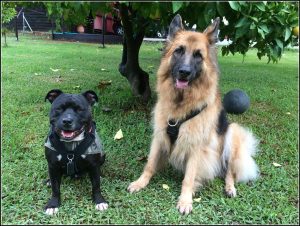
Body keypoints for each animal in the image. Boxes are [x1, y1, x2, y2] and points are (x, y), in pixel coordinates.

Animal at [127, 15, 258, 215]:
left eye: (198, 55)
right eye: (179, 51)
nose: (184, 72)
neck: (181, 104)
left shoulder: (196, 147)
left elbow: (188, 177)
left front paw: (185, 200)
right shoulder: (159, 137)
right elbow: (149, 164)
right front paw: (140, 183)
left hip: (232, 133)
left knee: (229, 171)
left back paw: (230, 187)